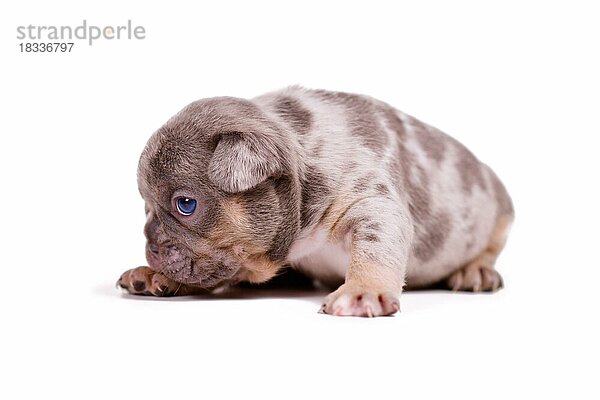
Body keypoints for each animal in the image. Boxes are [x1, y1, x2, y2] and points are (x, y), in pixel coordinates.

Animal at [118, 86, 516, 318]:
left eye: (186, 204)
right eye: (146, 207)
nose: (151, 247)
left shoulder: (373, 205)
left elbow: (374, 249)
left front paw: (362, 291)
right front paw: (155, 275)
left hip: (500, 213)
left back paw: (475, 271)